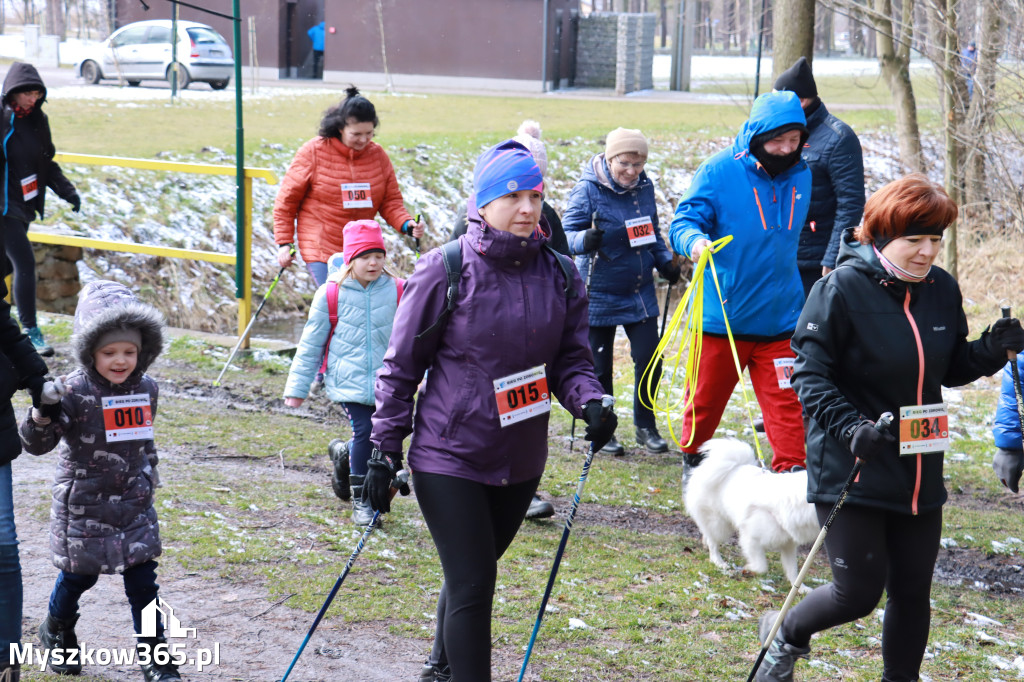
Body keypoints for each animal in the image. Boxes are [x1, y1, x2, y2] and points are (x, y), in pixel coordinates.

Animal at [684, 440, 819, 585]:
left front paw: (800, 587)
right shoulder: (751, 538)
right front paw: (749, 568)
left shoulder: (788, 544)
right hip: (718, 523)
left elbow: (793, 570)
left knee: (708, 534)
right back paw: (718, 561)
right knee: (713, 542)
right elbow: (761, 566)